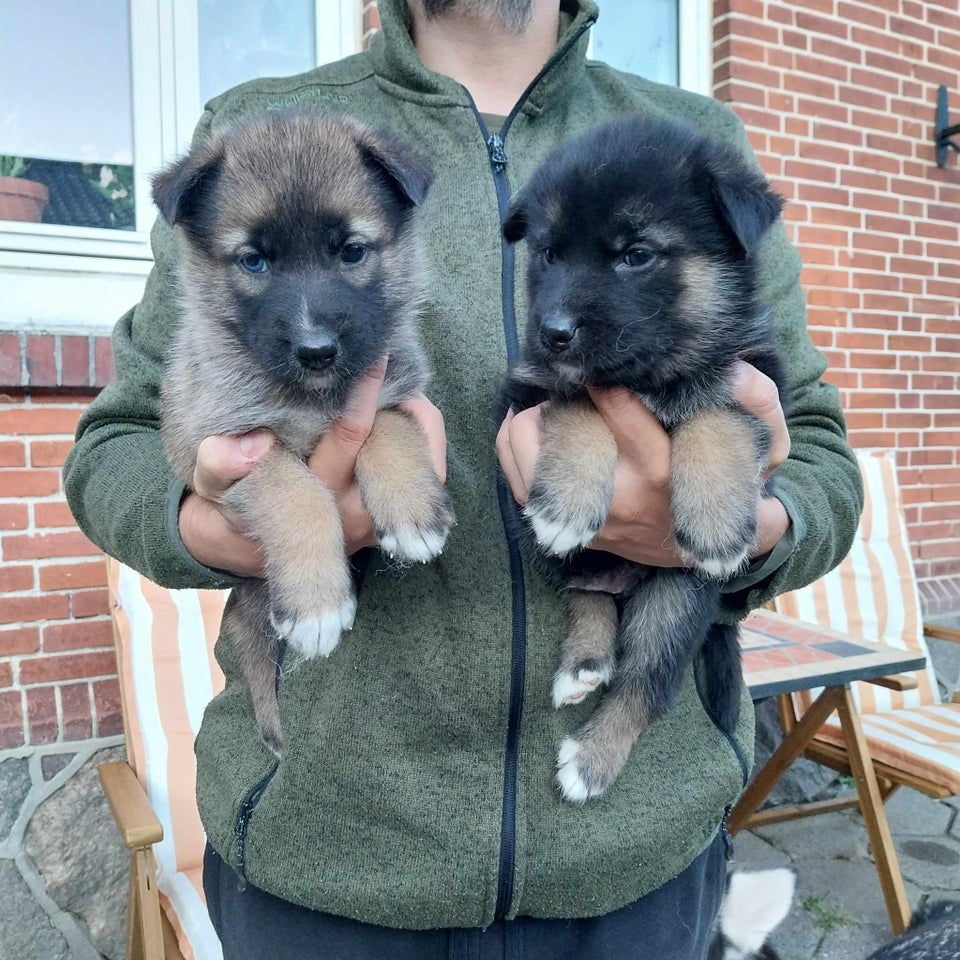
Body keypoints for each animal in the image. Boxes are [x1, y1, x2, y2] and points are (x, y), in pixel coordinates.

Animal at [156, 112, 456, 752]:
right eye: (253, 261)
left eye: (352, 251)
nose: (317, 350)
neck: (314, 397)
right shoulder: (232, 445)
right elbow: (299, 495)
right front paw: (318, 604)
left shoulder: (391, 388)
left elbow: (387, 430)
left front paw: (413, 513)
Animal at [502, 114, 788, 804]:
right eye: (548, 254)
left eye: (636, 255)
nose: (553, 332)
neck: (648, 376)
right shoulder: (527, 393)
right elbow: (576, 402)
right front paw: (568, 500)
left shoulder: (759, 378)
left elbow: (719, 417)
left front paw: (716, 521)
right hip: (553, 553)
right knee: (587, 594)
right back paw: (584, 664)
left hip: (677, 596)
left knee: (646, 684)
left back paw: (592, 757)